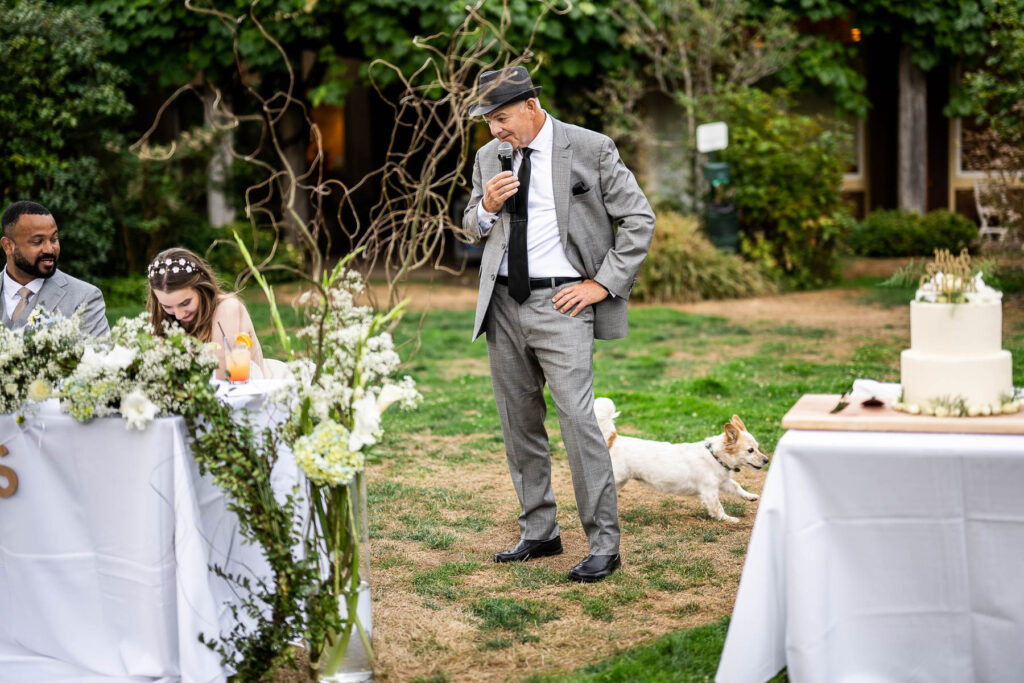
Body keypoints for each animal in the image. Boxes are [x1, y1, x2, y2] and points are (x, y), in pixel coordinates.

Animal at [593, 395, 770, 524]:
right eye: (750, 450)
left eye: (758, 447)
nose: (767, 460)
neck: (714, 456)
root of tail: (615, 439)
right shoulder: (709, 491)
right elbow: (717, 508)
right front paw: (728, 519)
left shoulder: (723, 482)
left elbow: (737, 487)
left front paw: (750, 496)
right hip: (617, 479)